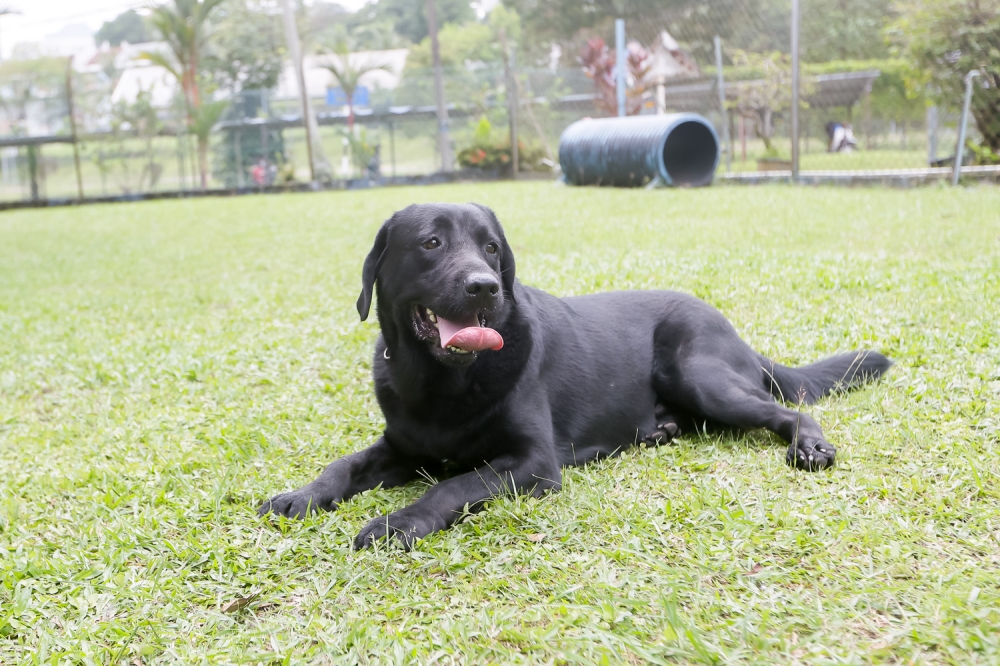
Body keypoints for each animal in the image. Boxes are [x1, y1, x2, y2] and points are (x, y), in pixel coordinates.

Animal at [260, 202, 892, 544]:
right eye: (431, 242)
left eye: (492, 249)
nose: (484, 287)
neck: (443, 381)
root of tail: (733, 331)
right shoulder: (400, 446)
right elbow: (343, 465)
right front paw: (302, 495)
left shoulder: (532, 463)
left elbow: (453, 484)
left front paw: (399, 523)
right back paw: (660, 430)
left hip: (700, 375)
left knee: (787, 408)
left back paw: (809, 444)